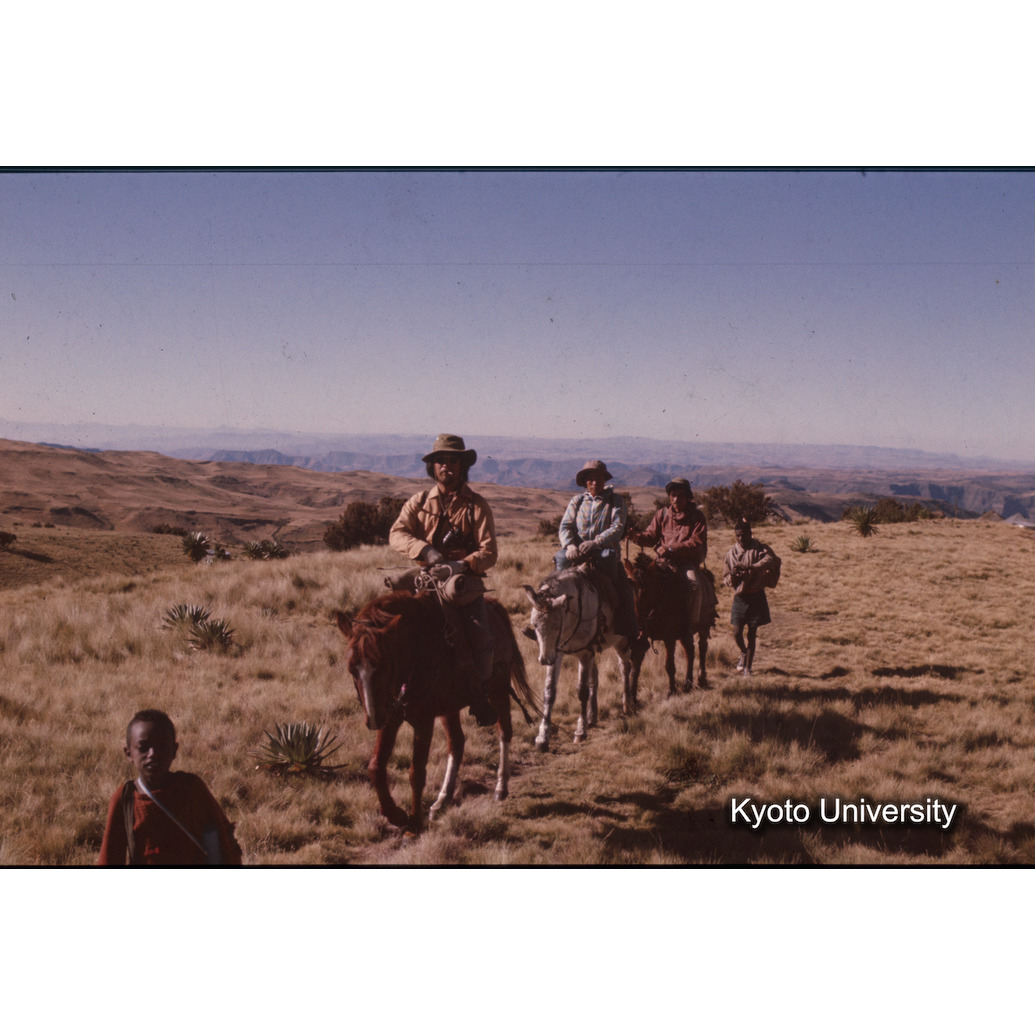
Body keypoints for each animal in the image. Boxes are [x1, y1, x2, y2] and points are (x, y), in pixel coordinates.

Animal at [335, 590, 537, 833]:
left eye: (382, 664)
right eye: (351, 668)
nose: (373, 719)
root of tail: (493, 606)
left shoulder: (423, 721)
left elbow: (417, 772)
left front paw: (414, 823)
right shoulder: (390, 718)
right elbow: (376, 767)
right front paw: (396, 815)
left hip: (498, 690)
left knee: (504, 731)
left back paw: (500, 787)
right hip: (449, 708)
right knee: (457, 743)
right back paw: (442, 799)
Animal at [522, 564, 639, 752]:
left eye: (557, 625)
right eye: (535, 624)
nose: (544, 660)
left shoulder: (584, 654)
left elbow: (582, 691)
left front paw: (580, 731)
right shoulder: (557, 653)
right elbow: (549, 691)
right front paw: (542, 737)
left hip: (621, 642)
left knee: (624, 668)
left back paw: (627, 705)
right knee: (595, 677)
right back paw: (592, 716)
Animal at [624, 553, 717, 695]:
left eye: (646, 591)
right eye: (628, 589)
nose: (638, 624)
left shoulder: (669, 637)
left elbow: (669, 665)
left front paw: (672, 690)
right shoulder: (643, 634)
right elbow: (636, 660)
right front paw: (632, 695)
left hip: (703, 626)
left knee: (702, 647)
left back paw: (700, 680)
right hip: (684, 633)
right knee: (689, 651)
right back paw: (688, 683)